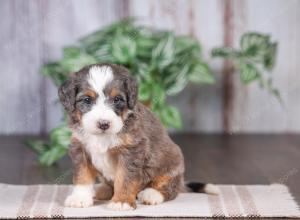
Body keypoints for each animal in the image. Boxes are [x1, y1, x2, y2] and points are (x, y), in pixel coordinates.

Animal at [58, 62, 218, 211]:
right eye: (87, 100)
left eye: (117, 99)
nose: (103, 124)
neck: (103, 137)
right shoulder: (80, 147)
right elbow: (82, 175)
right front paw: (80, 198)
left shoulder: (131, 150)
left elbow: (125, 178)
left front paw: (121, 201)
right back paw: (98, 190)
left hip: (173, 165)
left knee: (170, 189)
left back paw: (151, 194)